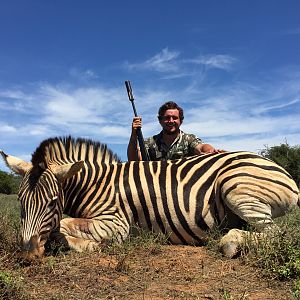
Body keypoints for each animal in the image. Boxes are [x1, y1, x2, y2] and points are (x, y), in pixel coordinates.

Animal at [0, 136, 300, 260]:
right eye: (20, 201)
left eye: (52, 201)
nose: (28, 255)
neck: (95, 183)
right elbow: (60, 226)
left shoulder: (116, 222)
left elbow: (62, 225)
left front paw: (89, 245)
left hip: (235, 187)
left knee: (276, 233)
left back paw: (230, 242)